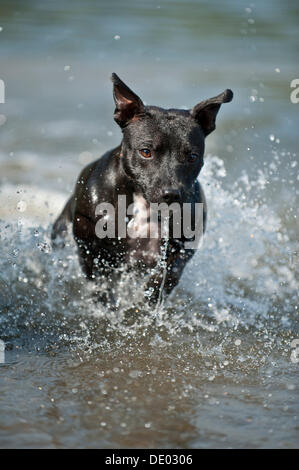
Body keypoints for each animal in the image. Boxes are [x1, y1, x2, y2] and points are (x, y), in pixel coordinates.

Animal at [52, 71, 234, 302]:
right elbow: (100, 283)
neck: (144, 205)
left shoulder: (180, 252)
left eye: (192, 156)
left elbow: (164, 278)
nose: (171, 193)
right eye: (145, 152)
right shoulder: (91, 250)